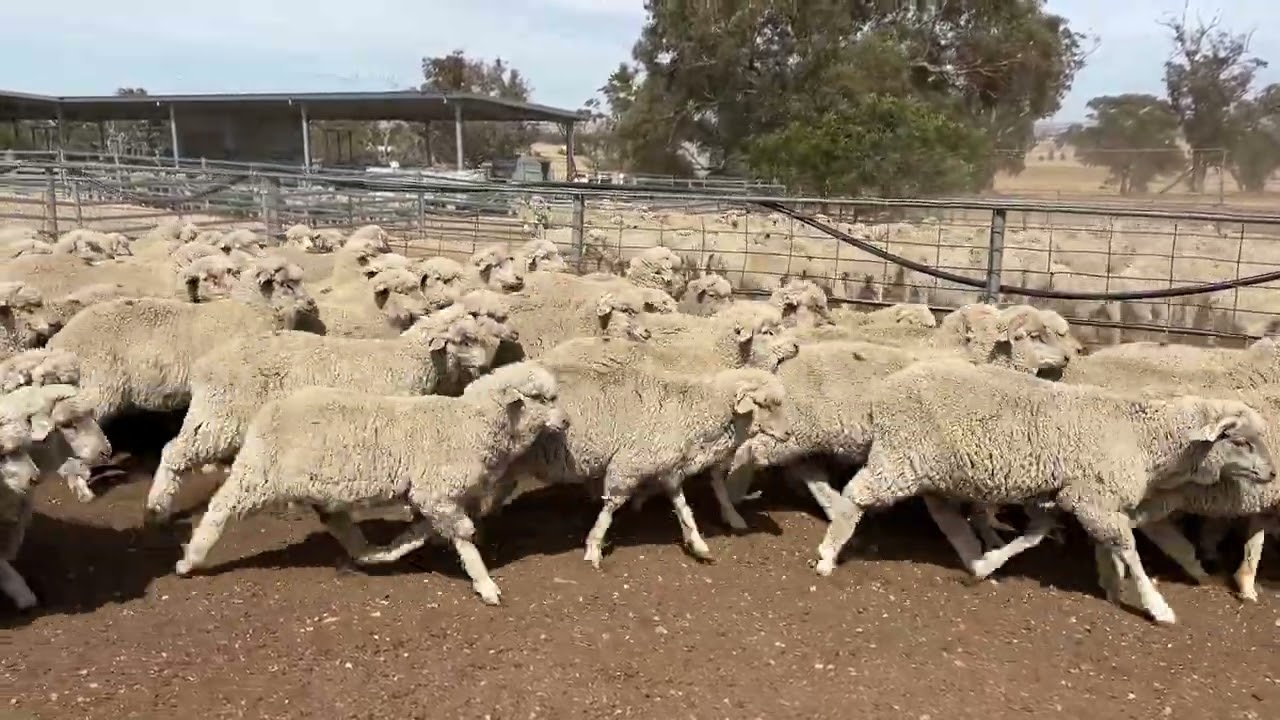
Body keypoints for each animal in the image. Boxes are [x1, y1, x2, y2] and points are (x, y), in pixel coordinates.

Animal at [46, 256, 319, 427]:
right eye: (286, 284)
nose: (311, 303)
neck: (249, 310)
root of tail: (59, 342)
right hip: (101, 384)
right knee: (66, 413)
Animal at [143, 313, 504, 525]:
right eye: (465, 339)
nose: (488, 367)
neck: (409, 359)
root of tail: (205, 367)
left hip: (216, 414)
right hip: (222, 416)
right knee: (174, 452)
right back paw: (157, 507)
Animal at [173, 361, 570, 605]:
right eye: (541, 398)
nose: (566, 422)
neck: (470, 424)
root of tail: (269, 410)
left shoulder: (434, 496)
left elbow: (435, 526)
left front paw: (404, 543)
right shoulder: (436, 491)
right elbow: (463, 537)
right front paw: (485, 585)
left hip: (313, 486)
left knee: (337, 522)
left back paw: (371, 553)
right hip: (259, 475)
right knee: (219, 507)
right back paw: (191, 559)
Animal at [502, 359, 791, 566]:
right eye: (766, 404)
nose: (789, 434)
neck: (693, 412)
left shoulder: (668, 467)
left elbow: (684, 509)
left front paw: (698, 545)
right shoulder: (629, 464)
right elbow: (611, 508)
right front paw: (594, 547)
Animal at [813, 358, 1275, 625]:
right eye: (1241, 441)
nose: (1272, 473)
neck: (1145, 438)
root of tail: (883, 394)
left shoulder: (1069, 495)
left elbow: (1036, 536)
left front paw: (992, 564)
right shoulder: (1094, 499)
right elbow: (1129, 549)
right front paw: (1157, 606)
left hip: (932, 466)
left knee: (941, 512)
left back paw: (971, 557)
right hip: (902, 455)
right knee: (856, 495)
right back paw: (827, 554)